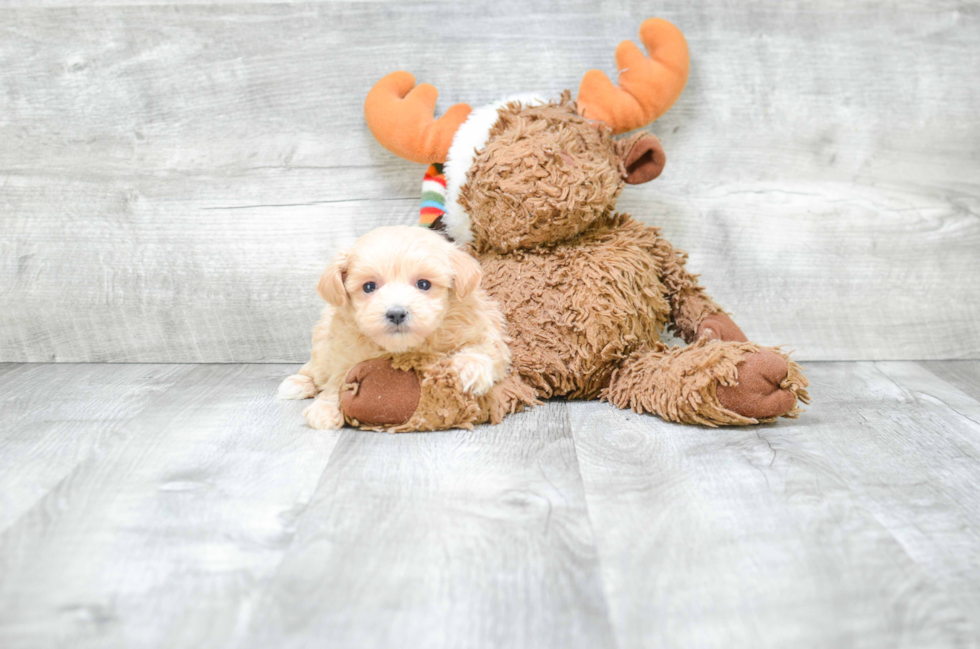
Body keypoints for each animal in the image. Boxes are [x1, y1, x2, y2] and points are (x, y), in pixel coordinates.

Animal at [280, 224, 510, 430]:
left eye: (424, 284)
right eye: (369, 287)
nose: (396, 313)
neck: (405, 347)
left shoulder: (483, 329)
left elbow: (481, 347)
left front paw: (470, 369)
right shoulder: (344, 353)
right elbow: (338, 380)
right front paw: (326, 407)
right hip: (321, 347)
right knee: (315, 371)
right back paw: (298, 383)